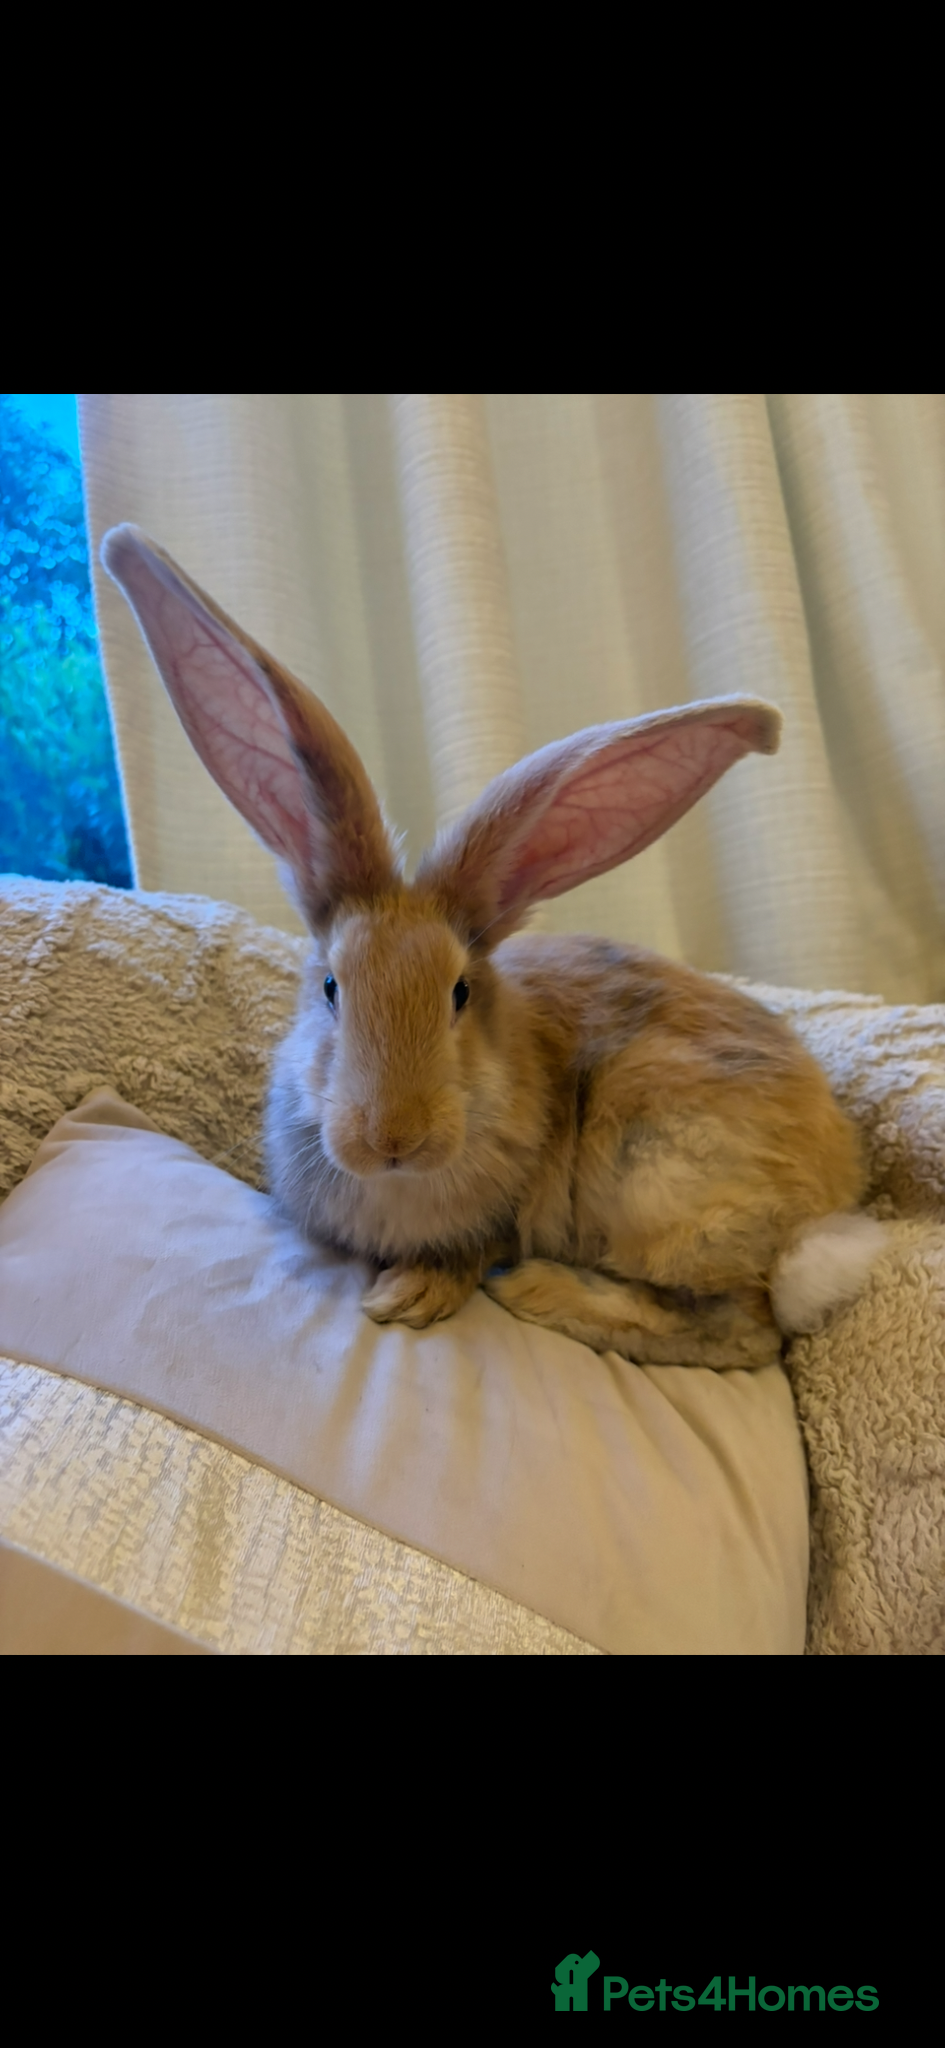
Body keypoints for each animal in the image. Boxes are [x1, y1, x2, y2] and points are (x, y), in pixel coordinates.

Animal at [102, 525, 889, 1369]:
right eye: (330, 989)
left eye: (459, 993)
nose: (392, 1138)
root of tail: (825, 1212)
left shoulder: (506, 1214)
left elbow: (471, 1250)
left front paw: (407, 1296)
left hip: (654, 1174)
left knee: (743, 1329)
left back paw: (538, 1291)